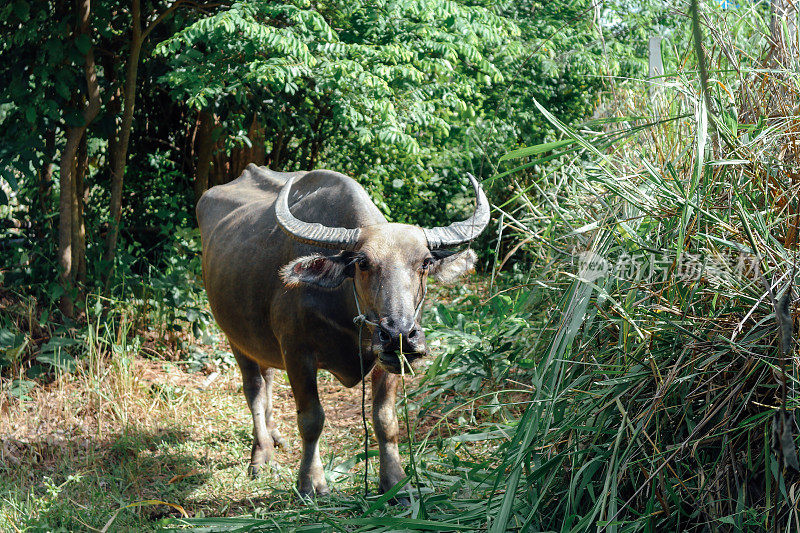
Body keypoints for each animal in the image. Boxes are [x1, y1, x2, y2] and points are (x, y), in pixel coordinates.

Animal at [197, 165, 490, 494]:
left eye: (426, 262)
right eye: (362, 262)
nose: (399, 334)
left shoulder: (387, 360)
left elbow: (385, 421)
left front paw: (395, 483)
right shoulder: (297, 353)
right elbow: (311, 419)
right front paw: (311, 482)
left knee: (267, 377)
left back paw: (274, 438)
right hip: (235, 337)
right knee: (254, 390)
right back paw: (261, 455)